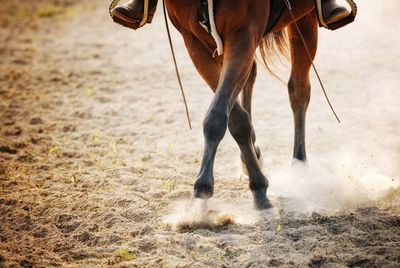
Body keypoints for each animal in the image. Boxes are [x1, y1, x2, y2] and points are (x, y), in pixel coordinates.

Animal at [165, 0, 318, 209]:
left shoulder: (243, 33)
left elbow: (218, 116)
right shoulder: (194, 40)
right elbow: (233, 116)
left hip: (303, 19)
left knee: (299, 89)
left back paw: (299, 166)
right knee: (253, 76)